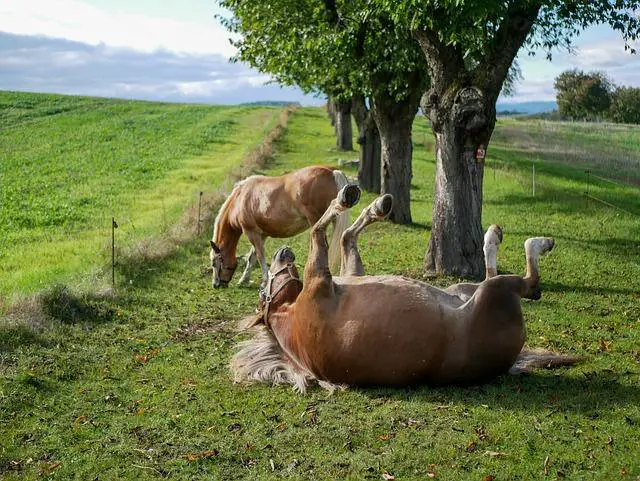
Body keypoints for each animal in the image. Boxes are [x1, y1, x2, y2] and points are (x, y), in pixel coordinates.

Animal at [209, 165, 350, 286]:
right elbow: (252, 257)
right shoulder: (261, 235)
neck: (240, 199)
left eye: (214, 263)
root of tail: (332, 172)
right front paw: (244, 279)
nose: (216, 285)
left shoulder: (251, 232)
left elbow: (260, 256)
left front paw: (265, 281)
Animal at [234, 186, 580, 392]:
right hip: (493, 294)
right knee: (528, 282)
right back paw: (536, 244)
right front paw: (345, 197)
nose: (282, 253)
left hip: (463, 288)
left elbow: (345, 236)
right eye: (263, 289)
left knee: (490, 271)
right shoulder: (318, 278)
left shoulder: (345, 275)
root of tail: (509, 361)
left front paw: (376, 206)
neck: (292, 321)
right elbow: (320, 229)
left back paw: (492, 237)